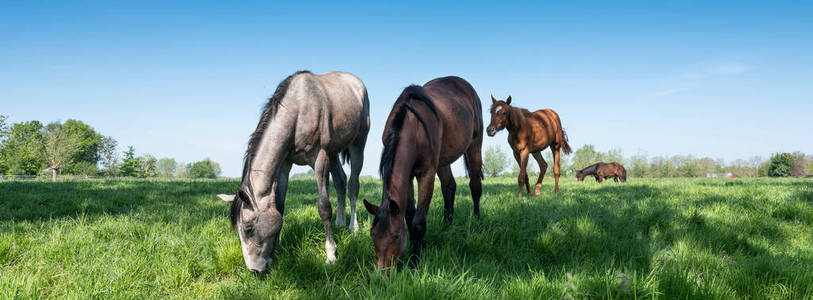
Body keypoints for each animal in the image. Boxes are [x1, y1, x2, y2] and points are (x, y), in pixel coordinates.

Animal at [216, 70, 368, 274]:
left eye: (248, 228)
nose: (254, 270)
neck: (298, 112)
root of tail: (357, 83)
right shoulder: (284, 165)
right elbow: (280, 206)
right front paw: (276, 250)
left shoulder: (320, 159)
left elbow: (324, 207)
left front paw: (331, 255)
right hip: (333, 152)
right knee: (341, 182)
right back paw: (340, 223)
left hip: (358, 143)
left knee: (353, 186)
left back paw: (354, 227)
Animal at [364, 77, 482, 270]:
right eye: (372, 234)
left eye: (396, 236)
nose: (382, 272)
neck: (414, 127)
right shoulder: (408, 177)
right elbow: (409, 216)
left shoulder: (426, 175)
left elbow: (418, 222)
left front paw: (414, 263)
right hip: (443, 160)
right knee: (449, 187)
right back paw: (447, 228)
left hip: (475, 145)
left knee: (475, 186)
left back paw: (477, 222)